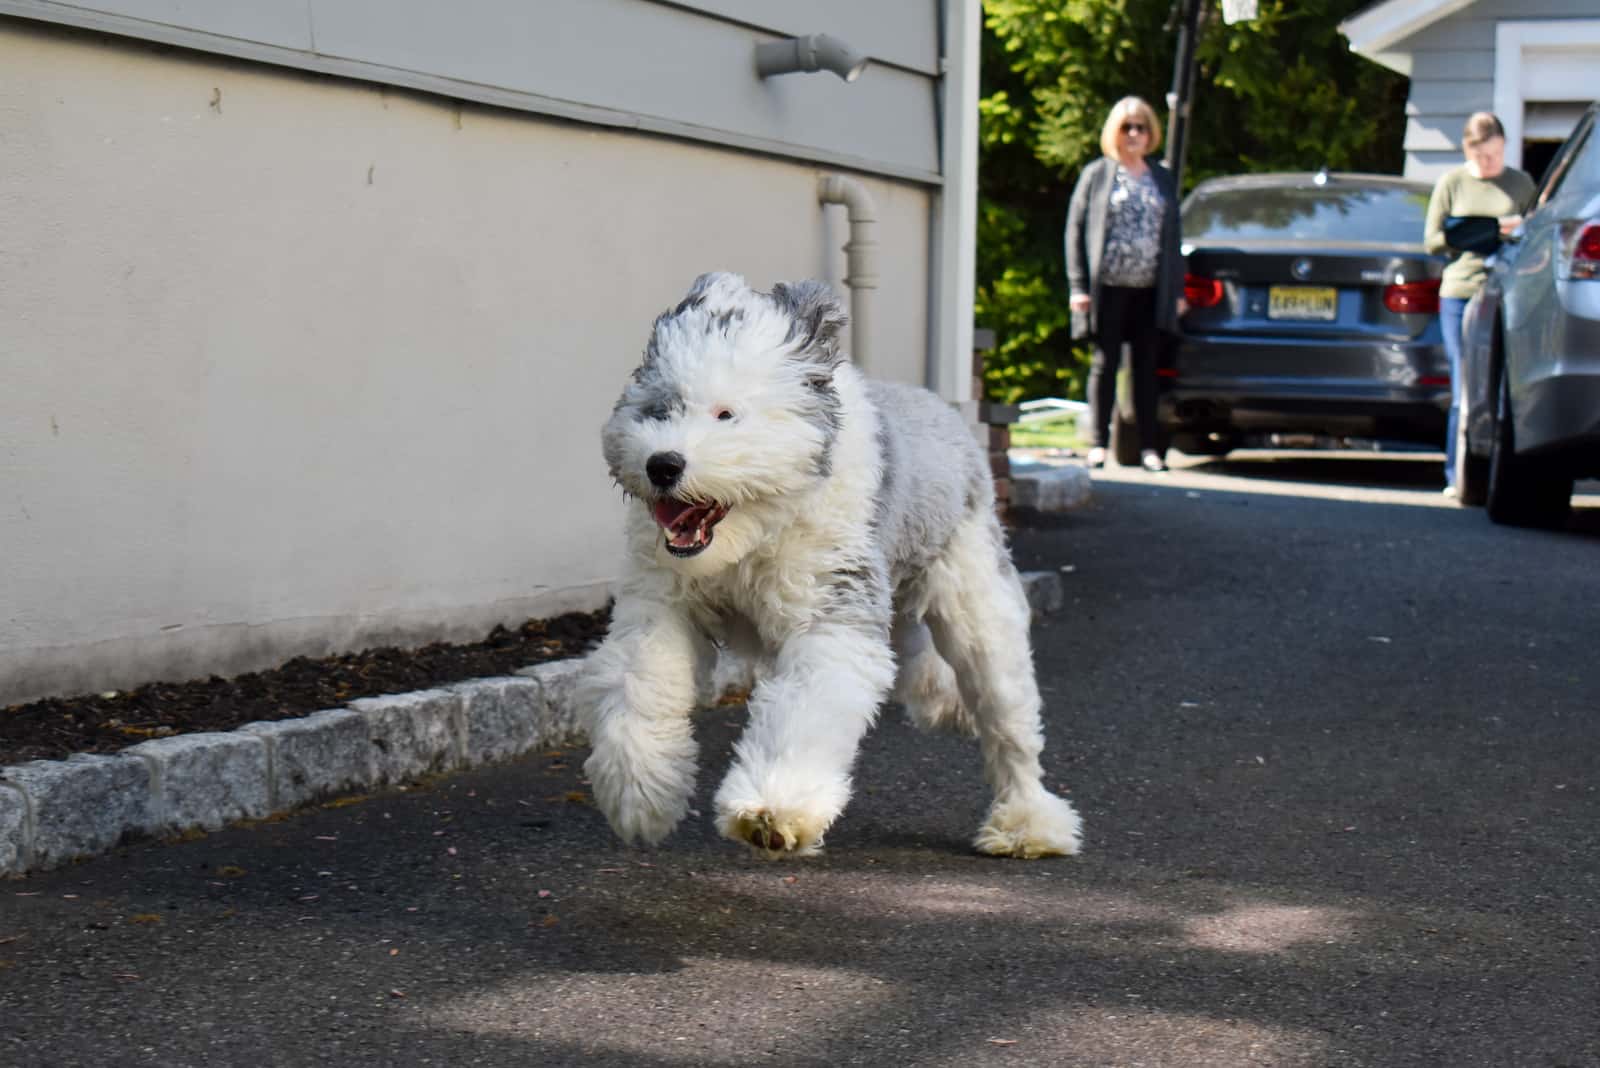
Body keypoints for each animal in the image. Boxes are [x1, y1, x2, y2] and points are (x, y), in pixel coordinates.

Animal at [579, 274, 1088, 856]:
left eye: (726, 414)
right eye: (660, 409)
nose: (662, 465)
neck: (755, 533)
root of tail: (946, 412)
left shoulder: (829, 620)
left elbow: (804, 713)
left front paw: (772, 809)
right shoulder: (660, 608)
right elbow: (639, 683)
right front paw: (639, 793)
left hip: (979, 613)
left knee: (1010, 731)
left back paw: (1028, 825)